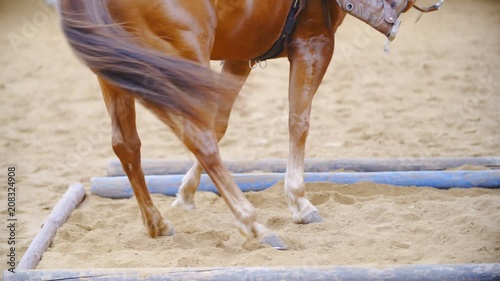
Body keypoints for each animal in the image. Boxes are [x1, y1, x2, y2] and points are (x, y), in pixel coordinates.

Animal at [54, 0, 434, 249]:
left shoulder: (240, 56)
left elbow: (222, 124)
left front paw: (186, 194)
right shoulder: (315, 42)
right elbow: (299, 120)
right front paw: (300, 202)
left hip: (117, 69)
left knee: (127, 144)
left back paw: (157, 223)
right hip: (178, 59)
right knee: (197, 137)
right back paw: (255, 225)